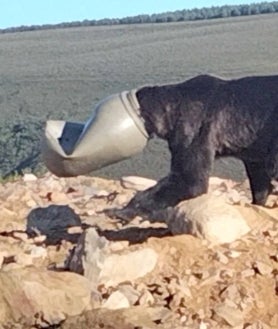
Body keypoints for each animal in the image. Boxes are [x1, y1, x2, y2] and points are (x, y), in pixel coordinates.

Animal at [105, 74, 276, 220]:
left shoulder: (194, 130)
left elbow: (189, 180)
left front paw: (121, 211)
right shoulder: (253, 153)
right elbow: (259, 180)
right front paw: (257, 203)